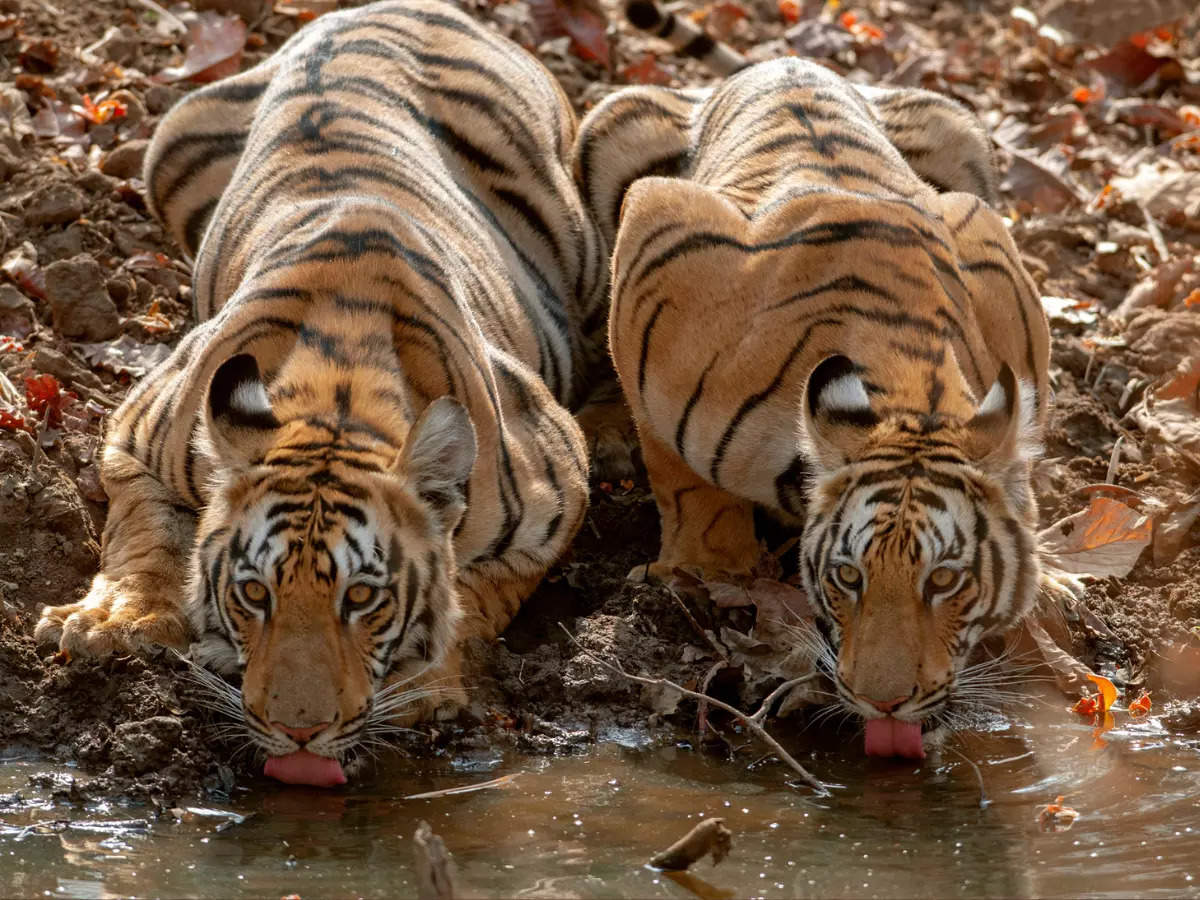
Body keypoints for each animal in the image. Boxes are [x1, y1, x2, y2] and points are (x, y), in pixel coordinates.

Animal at [35, 0, 609, 787]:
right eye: (255, 593)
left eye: (361, 598)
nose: (297, 732)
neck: (341, 393)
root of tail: (394, 7)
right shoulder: (135, 433)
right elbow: (145, 533)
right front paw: (113, 623)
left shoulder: (559, 494)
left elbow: (478, 589)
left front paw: (425, 680)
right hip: (168, 144)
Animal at [578, 3, 1051, 763]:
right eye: (847, 577)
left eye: (945, 580)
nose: (886, 701)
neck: (910, 386)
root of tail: (779, 61)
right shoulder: (660, 238)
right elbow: (678, 470)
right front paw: (709, 565)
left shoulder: (991, 252)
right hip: (612, 129)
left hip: (961, 136)